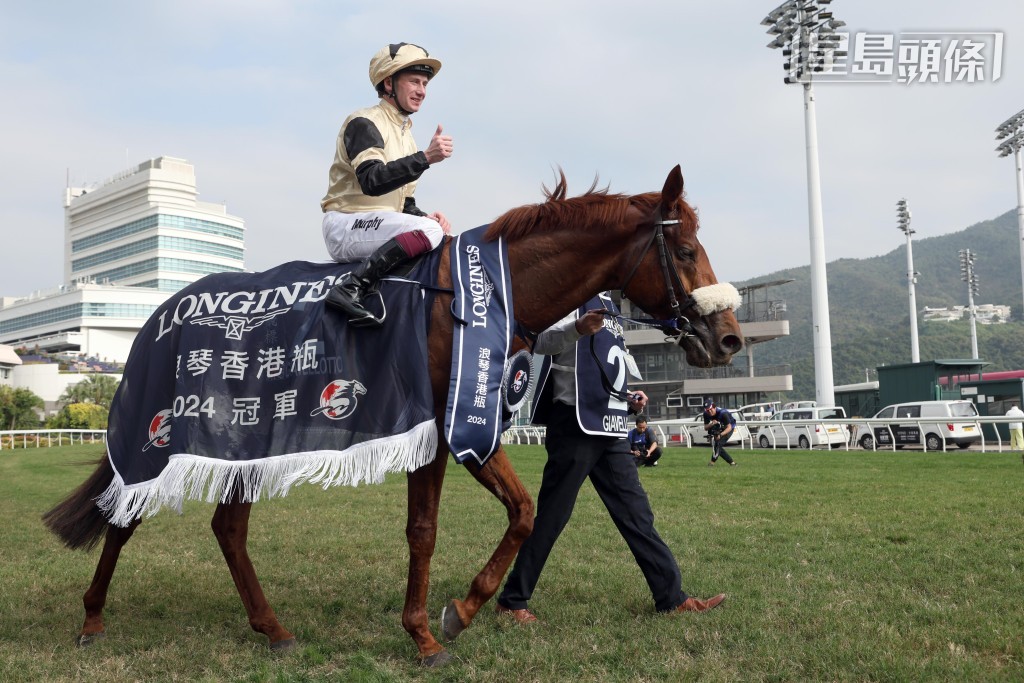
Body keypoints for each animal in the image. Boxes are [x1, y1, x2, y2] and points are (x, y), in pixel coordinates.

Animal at [44, 166, 741, 667]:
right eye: (684, 250)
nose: (729, 337)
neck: (481, 295)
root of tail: (153, 320)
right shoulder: (440, 427)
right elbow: (425, 530)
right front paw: (428, 634)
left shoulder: (469, 421)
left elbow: (523, 512)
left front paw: (461, 610)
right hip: (160, 436)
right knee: (123, 517)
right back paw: (92, 618)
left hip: (243, 437)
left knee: (228, 530)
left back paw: (274, 629)